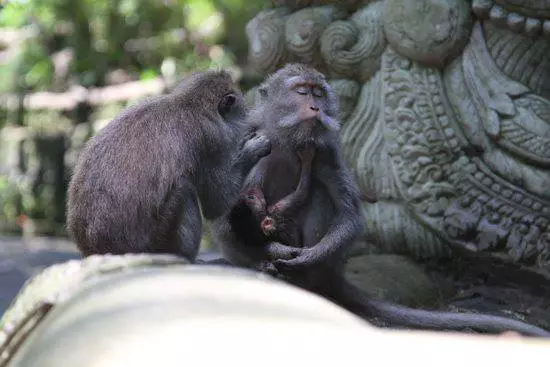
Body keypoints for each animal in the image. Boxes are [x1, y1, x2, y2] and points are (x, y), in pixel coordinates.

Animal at [66, 70, 272, 264]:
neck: (191, 104)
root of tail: (98, 251)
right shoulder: (212, 139)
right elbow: (216, 203)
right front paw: (251, 150)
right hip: (157, 242)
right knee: (184, 189)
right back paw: (186, 258)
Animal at [208, 62, 550, 336]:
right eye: (302, 92)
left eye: (319, 94)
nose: (316, 108)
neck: (284, 139)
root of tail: (333, 275)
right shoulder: (247, 136)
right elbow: (223, 207)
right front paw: (274, 248)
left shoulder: (326, 151)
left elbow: (349, 213)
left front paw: (307, 255)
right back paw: (262, 263)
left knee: (318, 195)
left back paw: (301, 275)